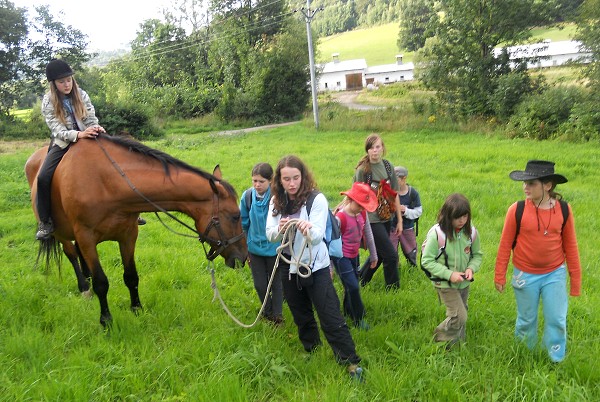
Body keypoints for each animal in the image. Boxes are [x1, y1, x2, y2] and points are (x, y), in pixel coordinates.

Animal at [25, 135, 246, 326]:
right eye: (235, 216)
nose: (243, 258)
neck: (107, 181)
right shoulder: (87, 237)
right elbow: (101, 283)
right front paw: (106, 320)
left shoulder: (128, 235)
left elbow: (131, 276)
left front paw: (137, 309)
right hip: (61, 233)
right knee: (71, 253)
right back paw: (84, 287)